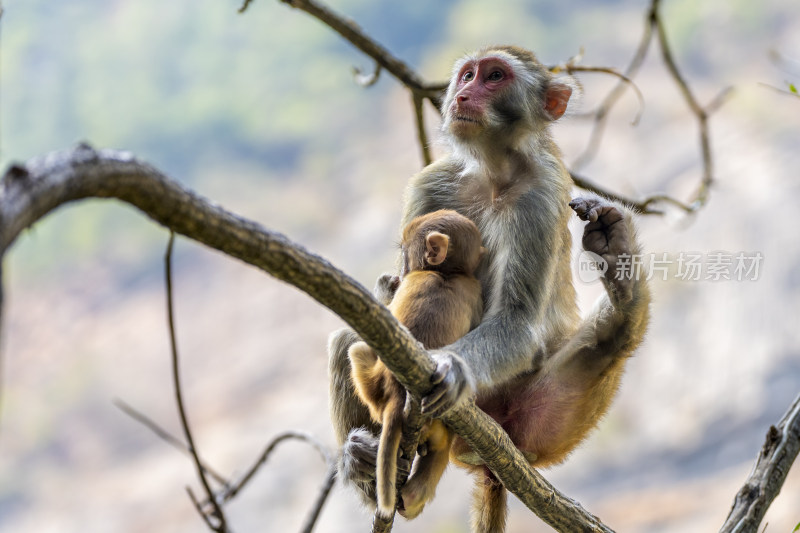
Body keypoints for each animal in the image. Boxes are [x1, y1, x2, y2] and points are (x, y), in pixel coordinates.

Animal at [348, 209, 484, 520]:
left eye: (404, 249)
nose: (403, 269)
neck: (445, 274)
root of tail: (398, 395)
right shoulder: (474, 290)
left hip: (375, 390)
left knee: (357, 348)